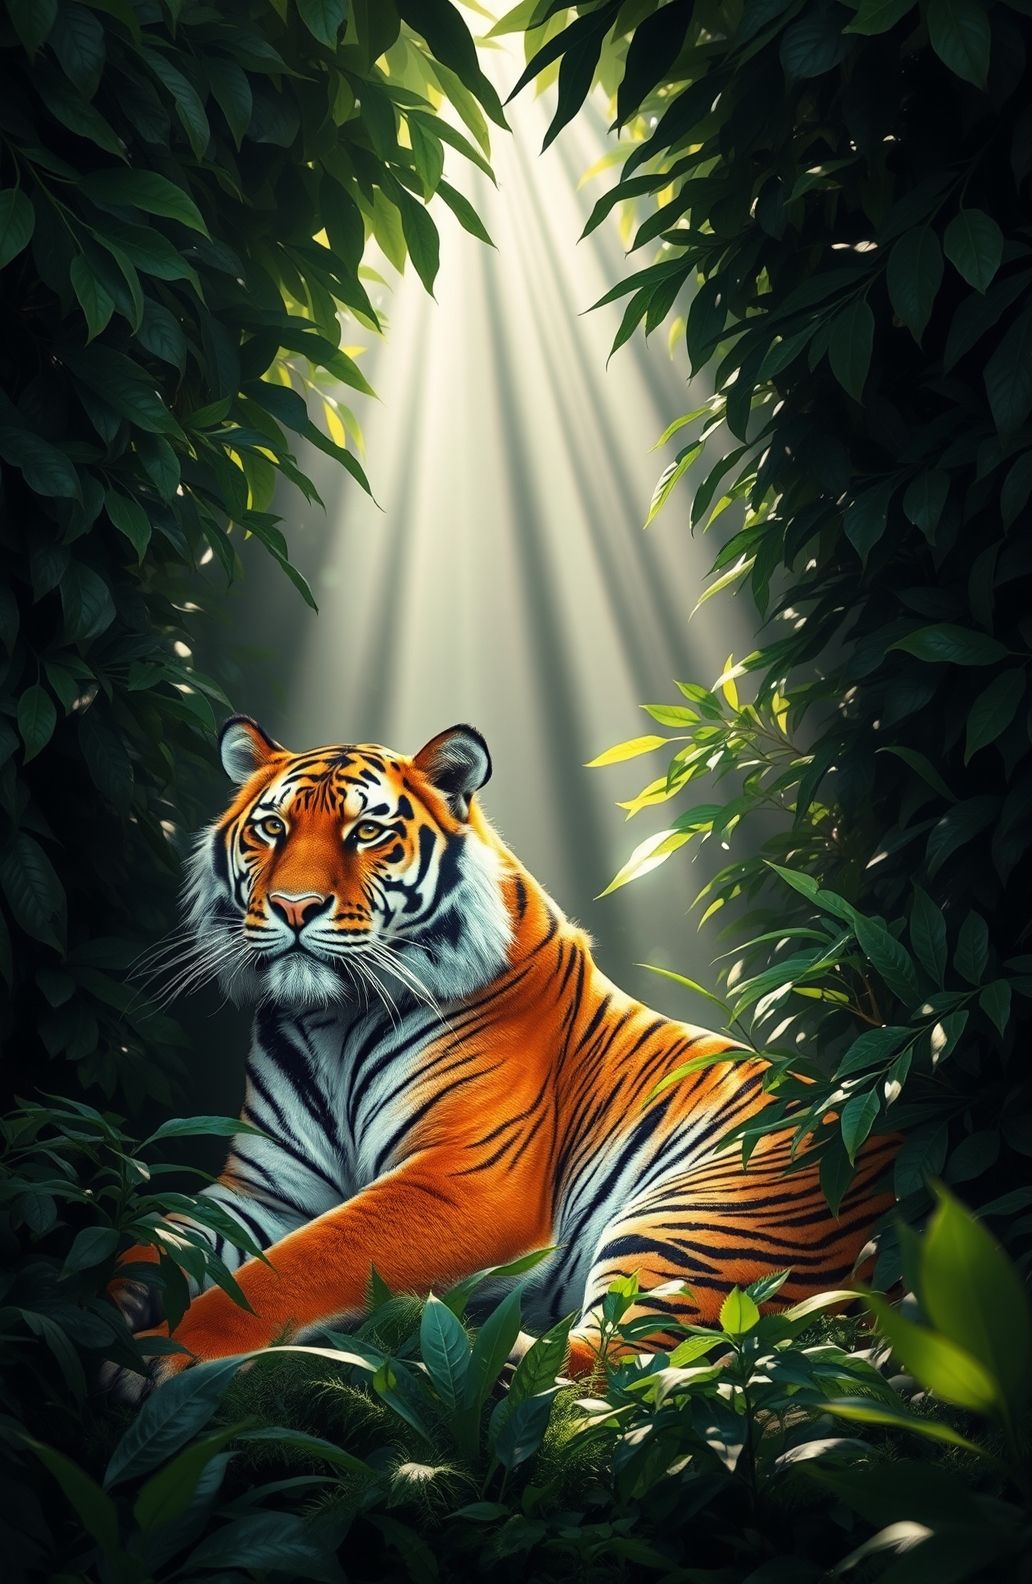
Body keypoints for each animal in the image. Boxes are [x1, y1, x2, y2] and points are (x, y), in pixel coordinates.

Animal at [106, 716, 895, 1400]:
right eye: (272, 828)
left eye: (367, 832)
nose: (294, 906)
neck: (331, 1016)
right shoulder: (266, 1189)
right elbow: (158, 1236)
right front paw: (103, 1305)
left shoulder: (466, 1181)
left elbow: (299, 1264)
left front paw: (169, 1353)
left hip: (700, 1217)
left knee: (623, 1367)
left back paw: (423, 1337)